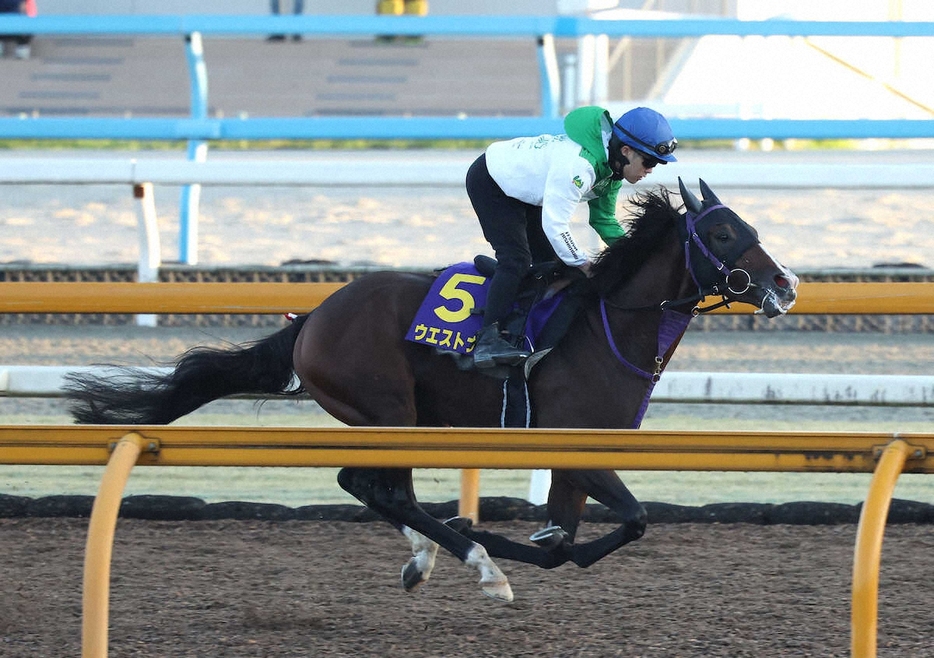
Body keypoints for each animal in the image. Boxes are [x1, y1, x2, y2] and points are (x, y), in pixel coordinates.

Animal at [64, 178, 796, 600]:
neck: (608, 322)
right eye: (723, 231)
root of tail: (313, 318)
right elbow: (625, 522)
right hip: (389, 408)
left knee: (376, 488)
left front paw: (523, 542)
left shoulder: (580, 456)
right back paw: (477, 560)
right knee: (379, 487)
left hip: (390, 418)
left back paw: (429, 555)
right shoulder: (572, 445)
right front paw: (495, 543)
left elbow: (571, 538)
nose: (786, 286)